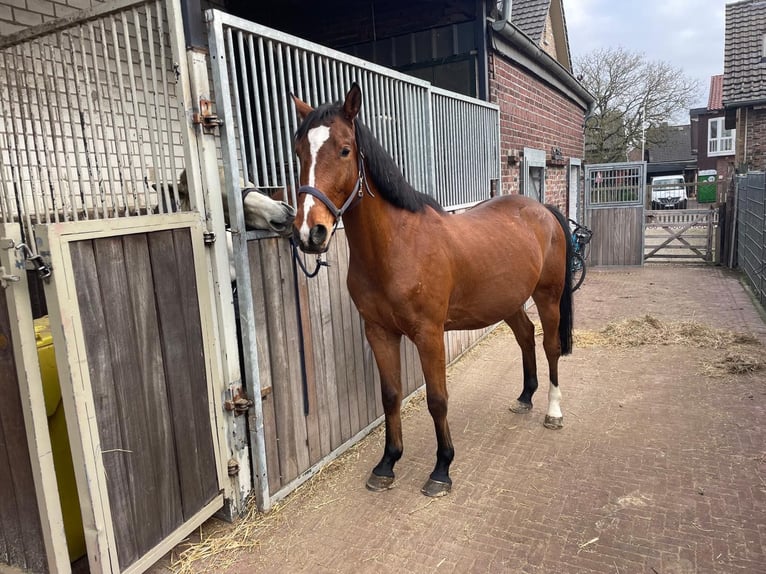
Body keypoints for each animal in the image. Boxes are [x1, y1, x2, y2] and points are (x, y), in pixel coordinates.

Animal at [291, 83, 574, 497]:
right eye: (299, 151)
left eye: (344, 149)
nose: (310, 233)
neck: (397, 246)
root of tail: (543, 210)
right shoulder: (379, 333)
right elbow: (390, 396)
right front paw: (387, 463)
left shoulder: (429, 335)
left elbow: (438, 400)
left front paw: (442, 469)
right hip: (508, 301)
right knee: (525, 335)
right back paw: (525, 397)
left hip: (548, 296)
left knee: (550, 346)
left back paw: (553, 411)